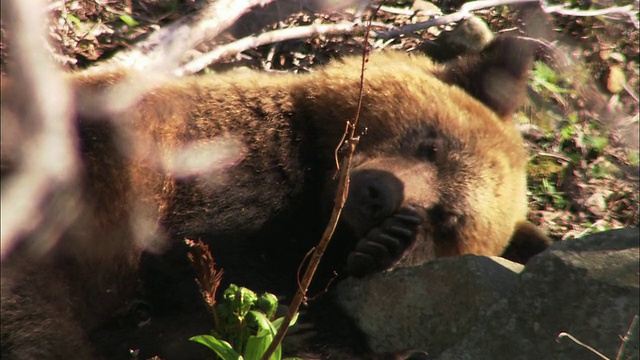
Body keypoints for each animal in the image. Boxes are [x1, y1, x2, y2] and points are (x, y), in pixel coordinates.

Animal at [0, 35, 552, 358]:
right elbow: (216, 264)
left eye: (447, 218)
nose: (378, 194)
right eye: (430, 143)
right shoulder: (208, 167)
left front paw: (381, 251)